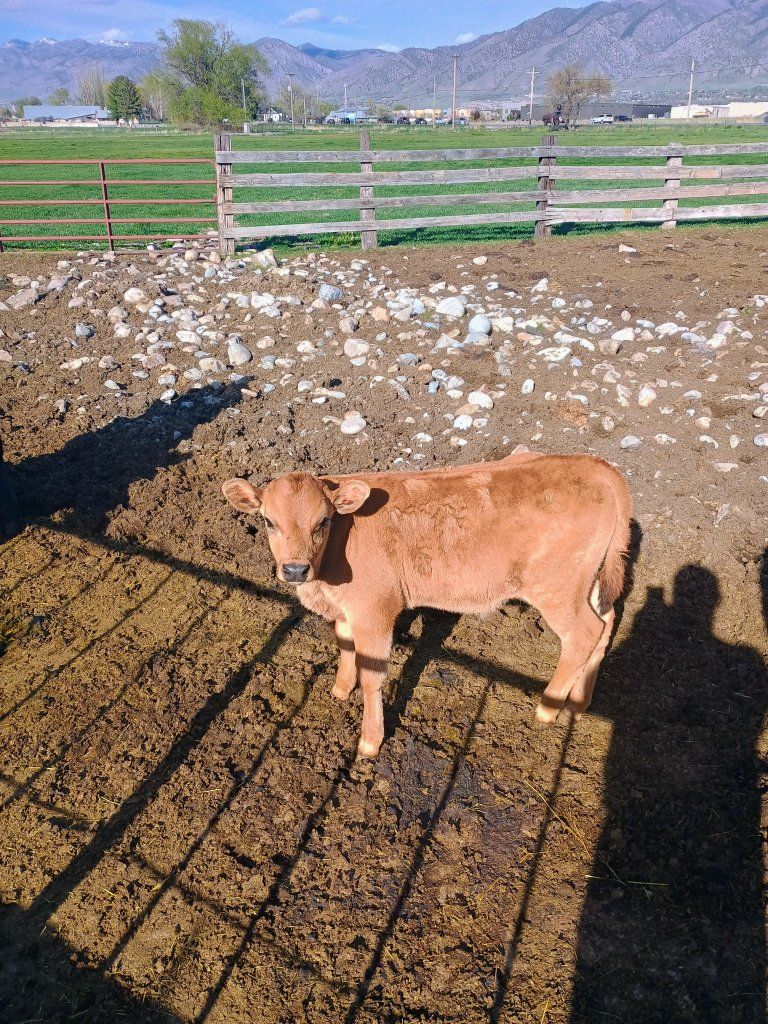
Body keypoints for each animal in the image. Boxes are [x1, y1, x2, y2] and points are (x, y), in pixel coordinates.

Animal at [223, 450, 632, 758]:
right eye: (268, 521)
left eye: (323, 521)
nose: (295, 569)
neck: (326, 576)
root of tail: (590, 465)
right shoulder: (348, 610)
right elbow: (344, 644)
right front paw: (340, 690)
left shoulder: (375, 610)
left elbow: (372, 674)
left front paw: (370, 741)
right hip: (587, 579)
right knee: (606, 621)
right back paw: (579, 700)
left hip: (555, 586)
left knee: (584, 633)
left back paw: (548, 707)